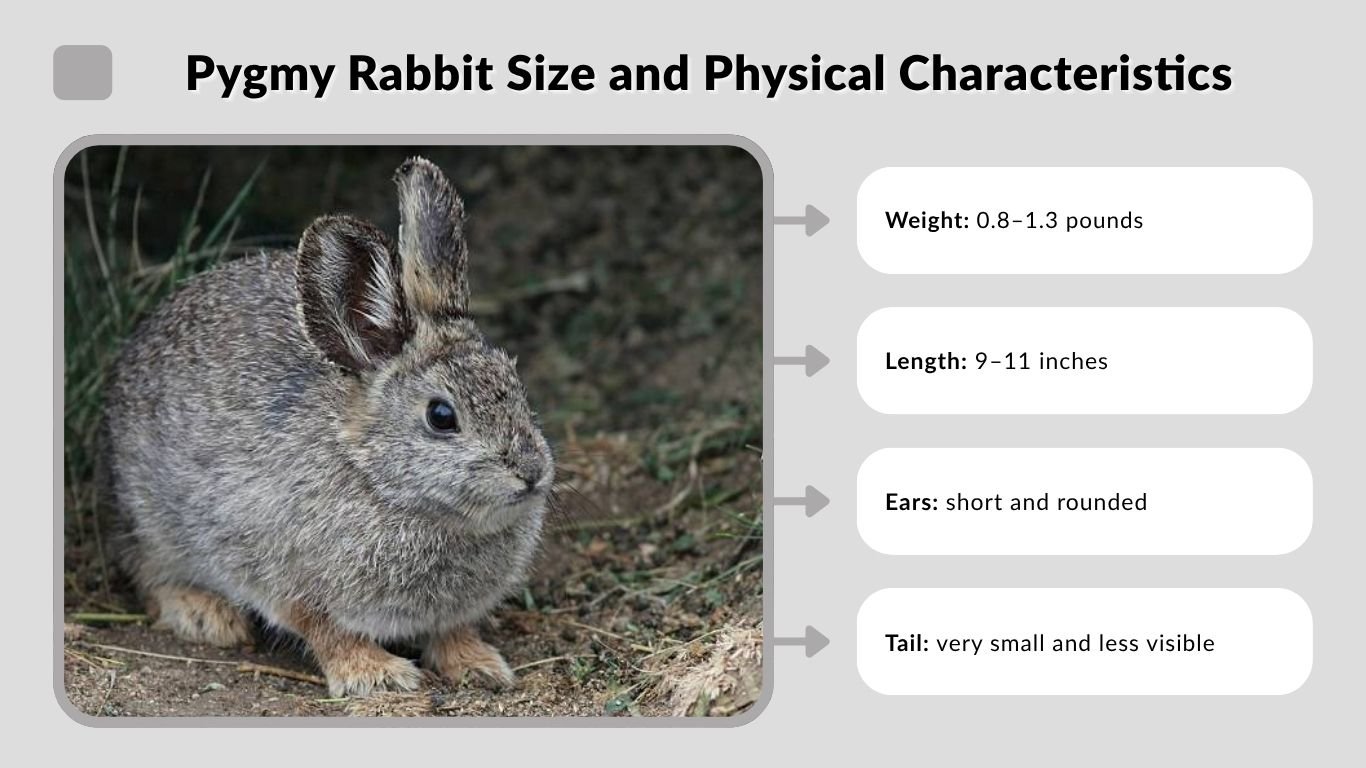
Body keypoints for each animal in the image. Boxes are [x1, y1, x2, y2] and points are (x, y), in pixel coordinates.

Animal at [98, 157, 554, 697]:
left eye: (516, 384)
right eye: (441, 416)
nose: (531, 472)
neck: (379, 482)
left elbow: (452, 630)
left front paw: (479, 665)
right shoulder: (286, 579)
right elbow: (328, 631)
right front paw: (377, 676)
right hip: (151, 519)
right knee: (148, 571)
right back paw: (206, 616)